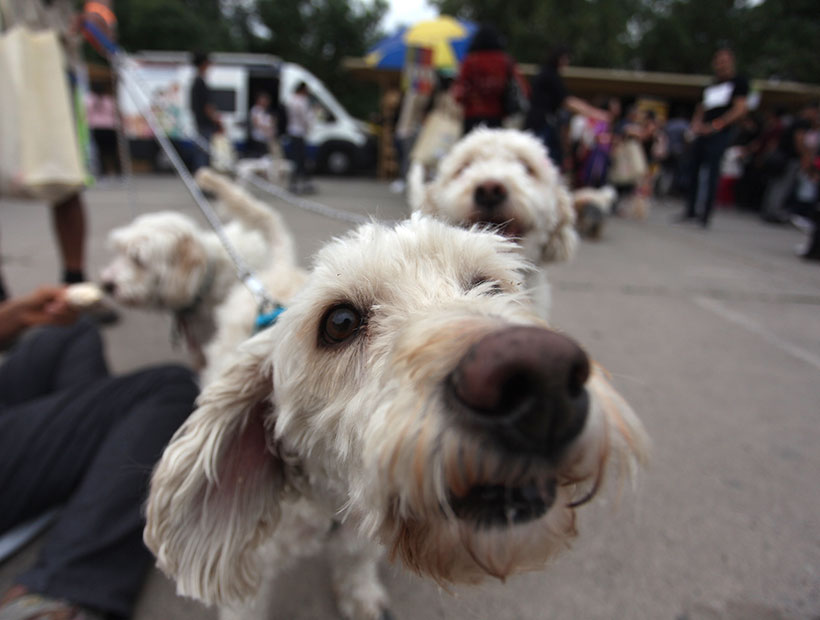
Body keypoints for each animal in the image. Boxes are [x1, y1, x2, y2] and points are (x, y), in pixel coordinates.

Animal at [146, 214, 648, 620]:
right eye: (340, 322)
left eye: (490, 284)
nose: (544, 379)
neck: (326, 508)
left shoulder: (358, 538)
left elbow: (354, 568)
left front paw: (363, 599)